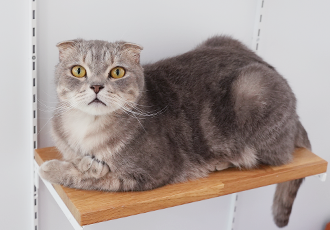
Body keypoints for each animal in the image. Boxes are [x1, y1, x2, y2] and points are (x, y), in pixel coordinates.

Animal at [40, 35, 310, 227]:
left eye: (117, 72)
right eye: (78, 70)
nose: (96, 86)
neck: (88, 126)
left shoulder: (149, 173)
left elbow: (92, 177)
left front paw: (55, 168)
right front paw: (82, 161)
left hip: (252, 89)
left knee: (268, 156)